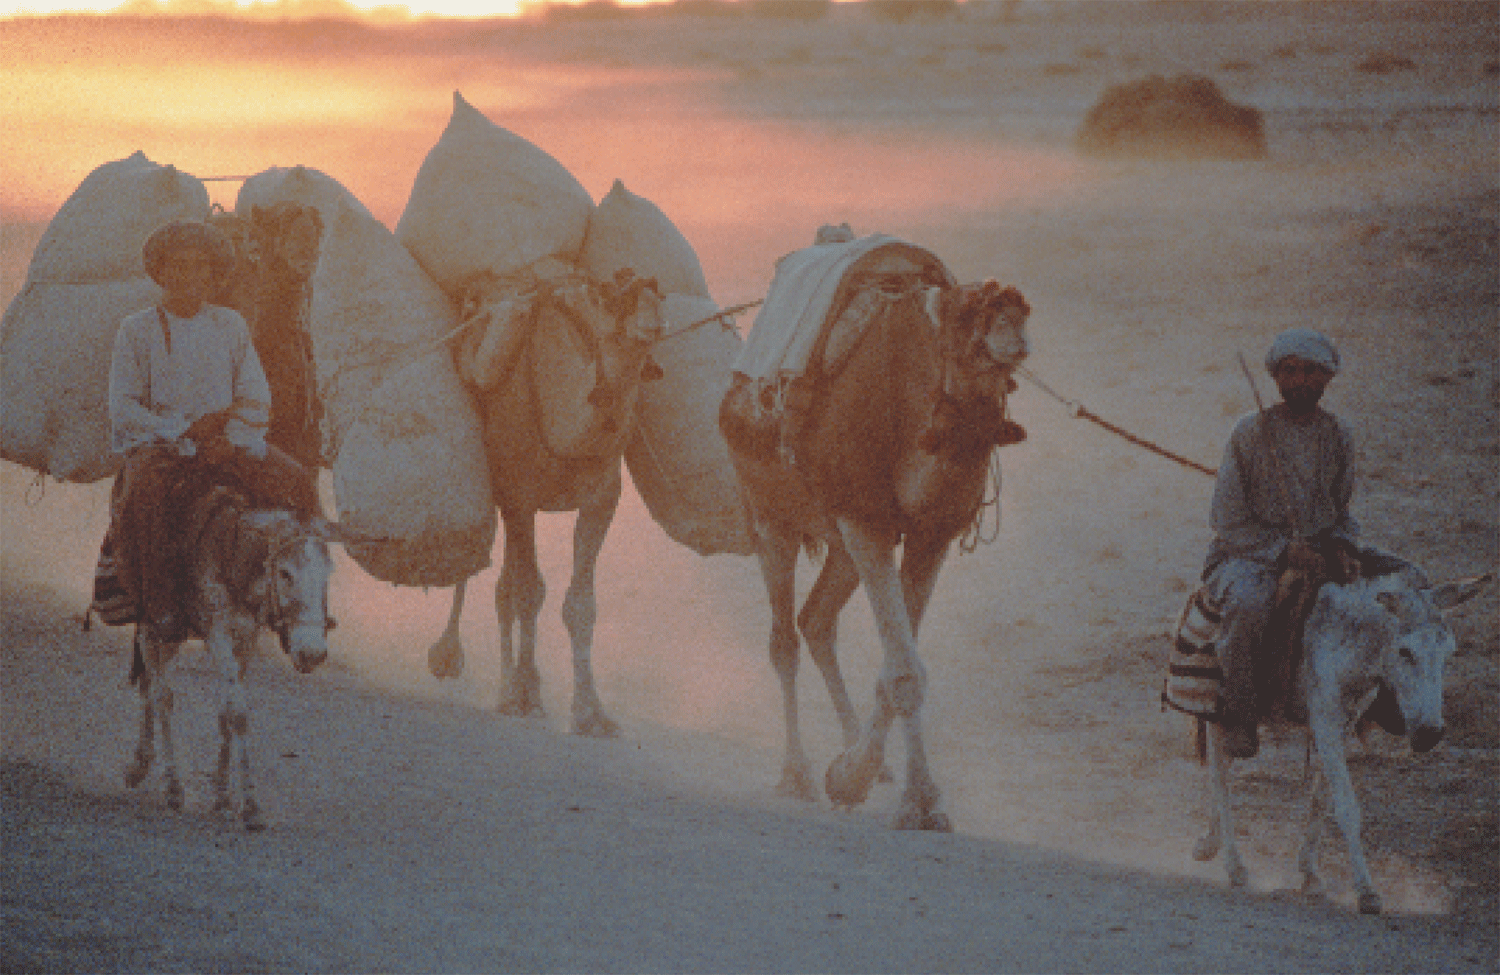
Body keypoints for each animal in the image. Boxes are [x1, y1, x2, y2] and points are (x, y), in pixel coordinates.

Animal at [426, 262, 666, 732]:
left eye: (658, 295)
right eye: (610, 298)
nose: (651, 324)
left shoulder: (601, 500)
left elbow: (580, 604)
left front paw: (591, 713)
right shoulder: (521, 497)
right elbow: (528, 593)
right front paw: (524, 699)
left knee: (505, 586)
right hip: (502, 491)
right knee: (506, 586)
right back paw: (475, 671)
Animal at [717, 237, 1032, 828]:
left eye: (1021, 310)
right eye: (964, 317)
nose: (1013, 321)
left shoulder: (928, 533)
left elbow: (896, 668)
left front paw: (862, 778)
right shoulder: (865, 519)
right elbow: (904, 670)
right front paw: (917, 802)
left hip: (839, 539)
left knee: (816, 620)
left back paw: (863, 761)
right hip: (771, 516)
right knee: (783, 639)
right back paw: (796, 774)